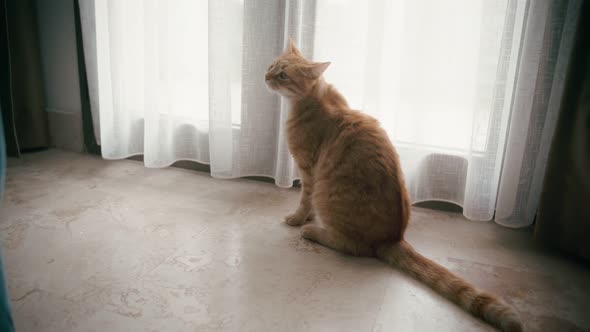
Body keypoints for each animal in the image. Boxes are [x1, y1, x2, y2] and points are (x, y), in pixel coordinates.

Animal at [268, 39, 524, 332]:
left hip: (328, 197)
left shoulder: (308, 172)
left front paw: (299, 219)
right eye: (272, 66)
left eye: (283, 75)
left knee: (353, 247)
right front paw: (306, 216)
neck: (315, 99)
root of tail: (394, 237)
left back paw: (313, 231)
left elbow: (304, 199)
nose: (266, 76)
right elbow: (306, 203)